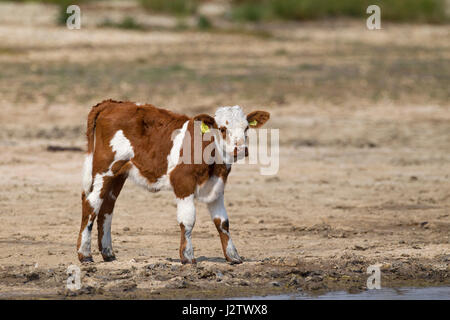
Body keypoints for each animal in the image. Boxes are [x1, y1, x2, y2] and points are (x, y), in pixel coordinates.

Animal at [76, 100, 270, 264]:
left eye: (246, 128)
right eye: (222, 129)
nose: (240, 150)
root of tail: (113, 103)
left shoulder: (217, 187)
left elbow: (222, 222)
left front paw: (233, 256)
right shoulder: (183, 183)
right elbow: (188, 220)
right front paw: (187, 256)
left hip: (118, 175)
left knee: (106, 208)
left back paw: (108, 253)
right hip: (104, 170)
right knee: (91, 204)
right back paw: (85, 254)